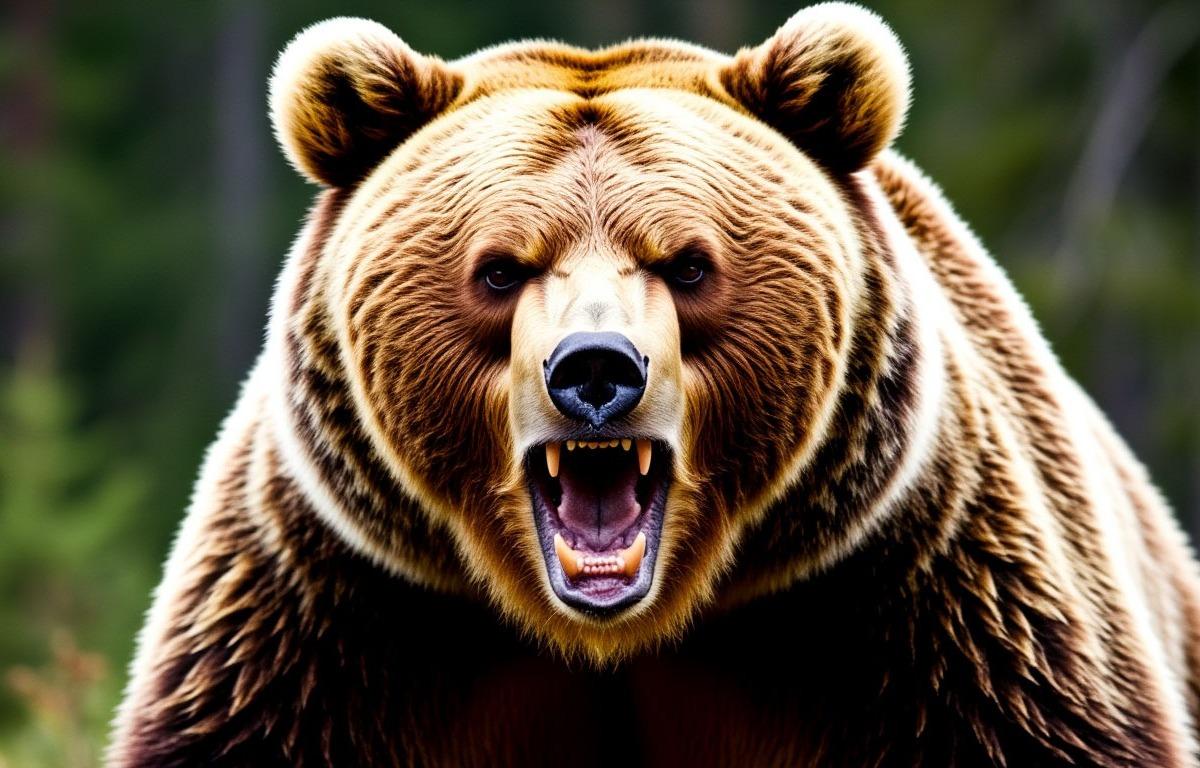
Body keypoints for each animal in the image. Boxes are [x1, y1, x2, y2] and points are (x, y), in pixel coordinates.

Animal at [109, 4, 1200, 766]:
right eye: (500, 269)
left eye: (686, 263)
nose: (596, 369)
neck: (620, 634)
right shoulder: (335, 621)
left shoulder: (922, 612)